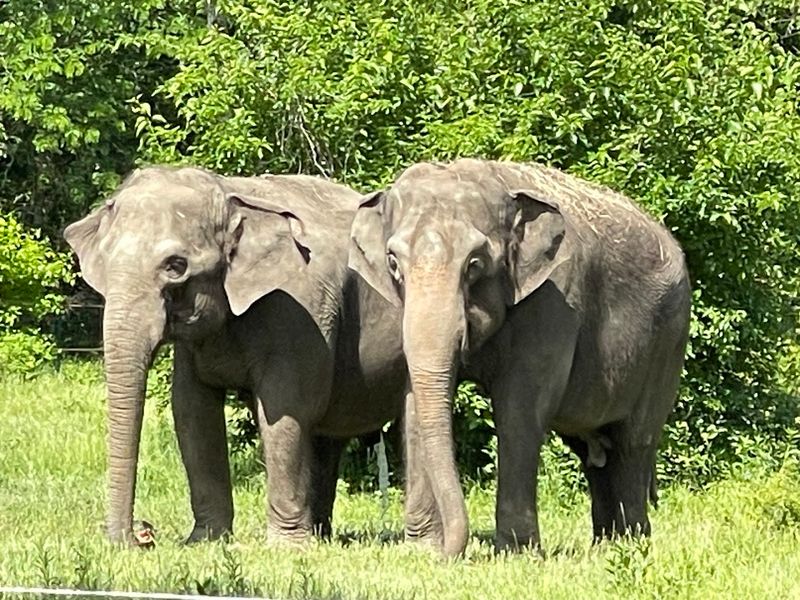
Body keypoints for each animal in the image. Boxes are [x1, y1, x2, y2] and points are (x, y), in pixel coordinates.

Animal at [64, 166, 406, 545]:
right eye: (105, 263)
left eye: (175, 266)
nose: (141, 538)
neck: (232, 195)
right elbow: (193, 411)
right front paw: (205, 541)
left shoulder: (298, 307)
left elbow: (285, 410)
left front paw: (285, 548)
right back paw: (321, 535)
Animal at [348, 158, 692, 557]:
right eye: (393, 263)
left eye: (475, 264)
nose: (453, 551)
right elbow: (415, 407)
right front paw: (423, 551)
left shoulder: (554, 297)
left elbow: (521, 408)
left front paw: (515, 551)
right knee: (595, 451)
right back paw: (607, 546)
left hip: (668, 340)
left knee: (633, 442)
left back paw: (632, 546)